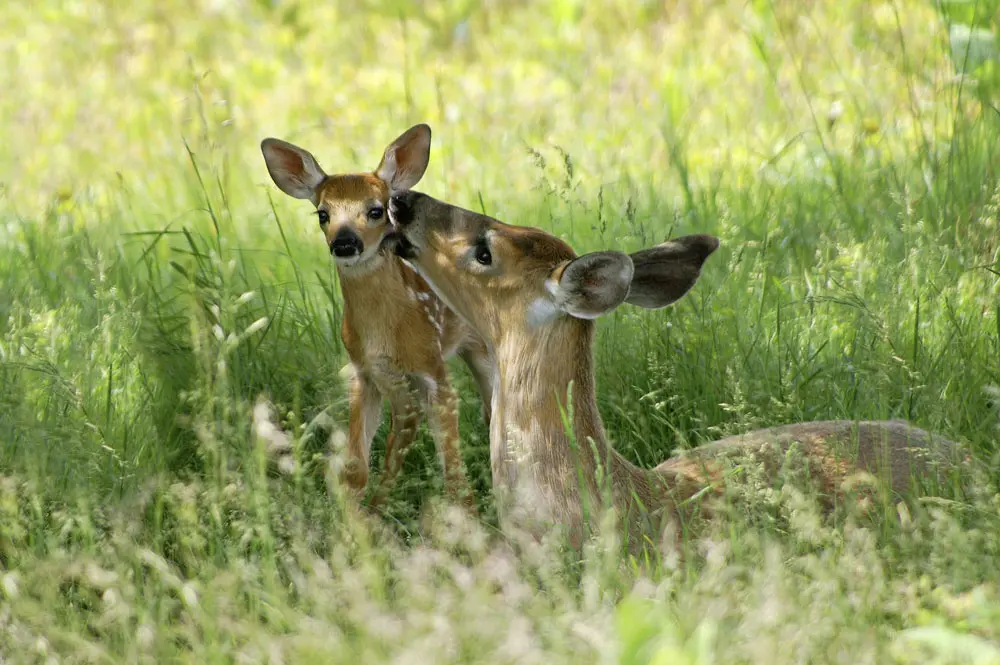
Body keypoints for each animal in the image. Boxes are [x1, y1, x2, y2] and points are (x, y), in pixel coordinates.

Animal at [259, 124, 494, 511]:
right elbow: (356, 466)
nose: (344, 243)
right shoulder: (364, 372)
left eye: (376, 210)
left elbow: (452, 468)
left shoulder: (432, 367)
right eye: (322, 213)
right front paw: (356, 518)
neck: (384, 330)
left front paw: (467, 515)